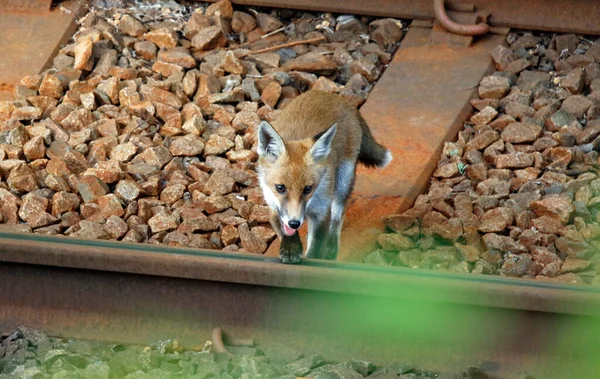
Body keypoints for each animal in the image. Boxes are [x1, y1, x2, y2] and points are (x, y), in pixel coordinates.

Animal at [255, 90, 392, 266]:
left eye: (308, 189)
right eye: (280, 188)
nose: (295, 223)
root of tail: (334, 97)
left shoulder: (321, 211)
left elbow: (316, 246)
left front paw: (312, 258)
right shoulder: (273, 206)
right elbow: (284, 230)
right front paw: (291, 248)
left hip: (343, 182)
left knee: (338, 216)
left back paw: (332, 248)